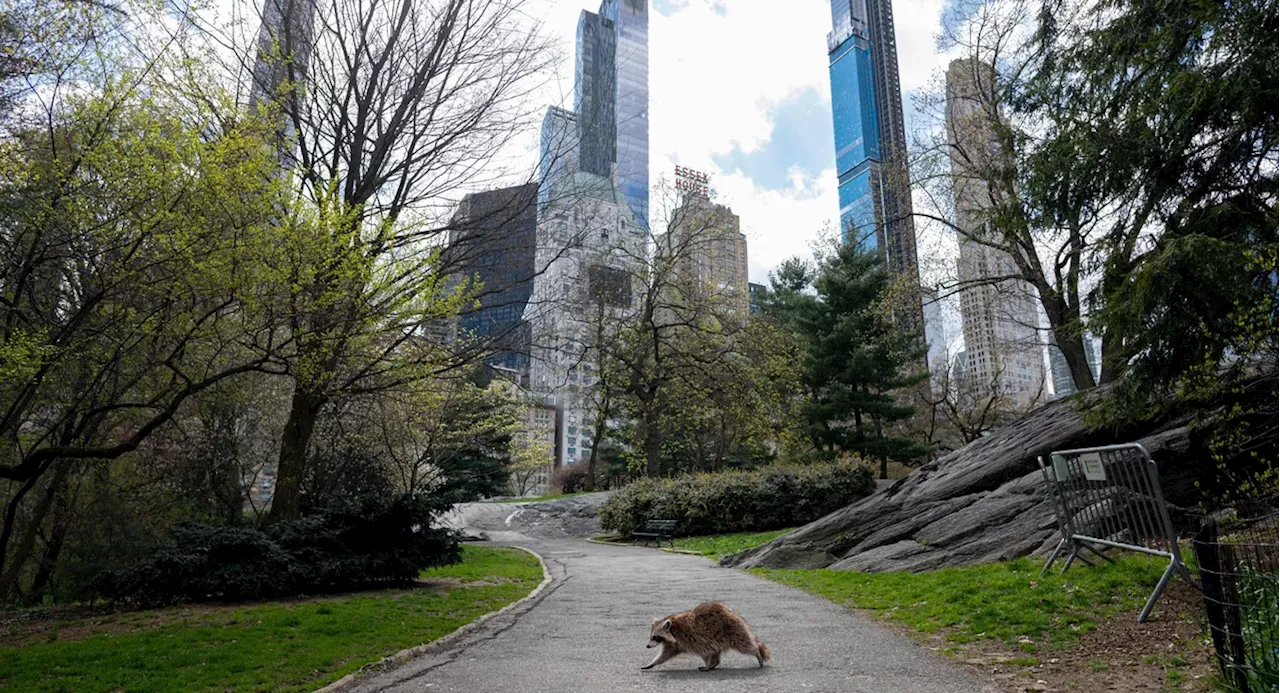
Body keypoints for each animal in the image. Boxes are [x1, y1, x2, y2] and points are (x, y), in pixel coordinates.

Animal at [640, 599, 768, 671]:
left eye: (655, 637)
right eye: (651, 636)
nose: (647, 646)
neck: (672, 629)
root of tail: (731, 612)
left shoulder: (692, 637)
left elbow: (704, 652)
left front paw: (707, 664)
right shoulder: (674, 644)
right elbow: (665, 655)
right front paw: (652, 663)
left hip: (732, 630)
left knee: (744, 643)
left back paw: (756, 652)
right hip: (719, 637)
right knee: (717, 651)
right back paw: (714, 664)